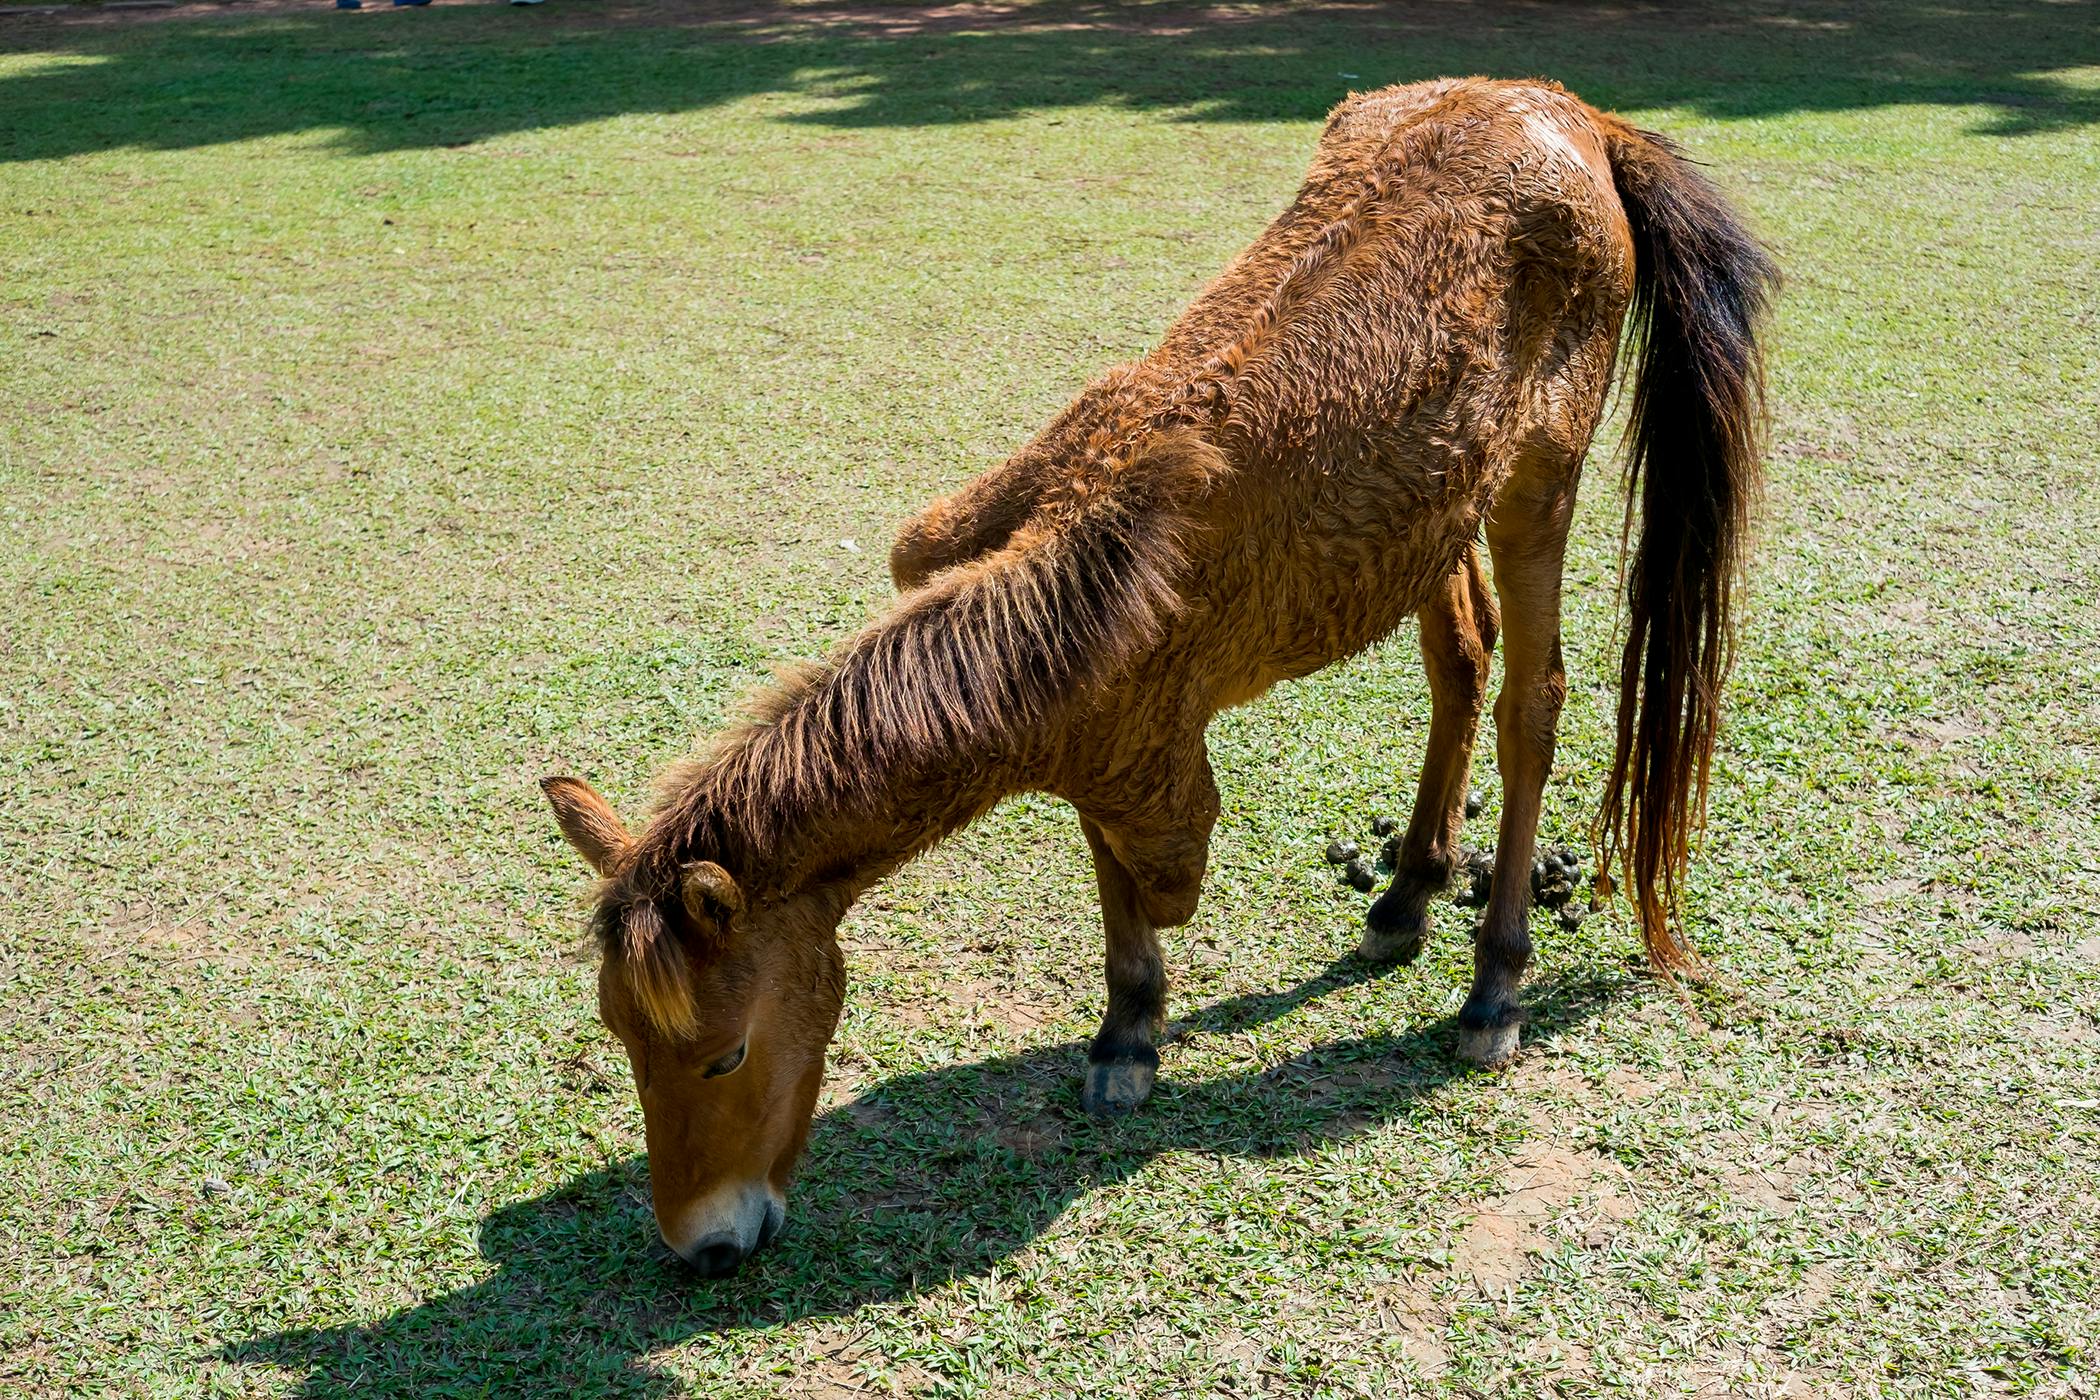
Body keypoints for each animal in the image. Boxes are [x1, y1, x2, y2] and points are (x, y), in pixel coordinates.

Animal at [540, 77, 1778, 1277]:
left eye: (724, 1053)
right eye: (622, 1038)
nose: (703, 1245)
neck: (1074, 573)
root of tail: (1573, 114)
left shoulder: (1160, 770)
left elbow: (1150, 869)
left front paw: (1135, 1031)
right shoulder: (1116, 745)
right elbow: (1112, 866)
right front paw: (1129, 1031)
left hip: (1539, 474)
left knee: (1534, 700)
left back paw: (1494, 985)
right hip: (1437, 507)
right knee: (1460, 656)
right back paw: (1408, 893)